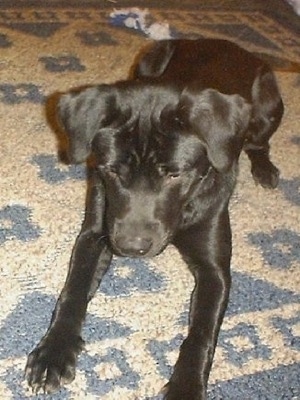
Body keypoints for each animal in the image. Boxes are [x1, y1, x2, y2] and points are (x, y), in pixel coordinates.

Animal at [24, 39, 282, 398]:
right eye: (112, 170)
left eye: (175, 174)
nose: (133, 248)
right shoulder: (96, 232)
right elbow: (73, 290)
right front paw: (54, 351)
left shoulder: (215, 269)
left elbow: (202, 333)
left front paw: (186, 385)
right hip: (149, 58)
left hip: (268, 108)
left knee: (259, 142)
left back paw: (265, 169)